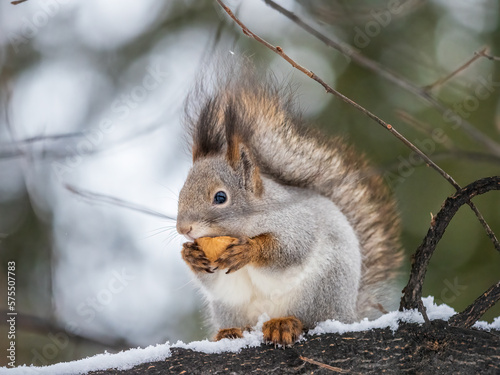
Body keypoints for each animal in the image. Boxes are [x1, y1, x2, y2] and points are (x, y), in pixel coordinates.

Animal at [176, 59, 402, 346]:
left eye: (220, 197)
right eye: (180, 193)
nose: (183, 229)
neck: (246, 223)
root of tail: (348, 313)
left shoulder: (295, 221)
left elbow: (289, 250)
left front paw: (249, 250)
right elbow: (210, 280)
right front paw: (190, 255)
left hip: (322, 290)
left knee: (310, 320)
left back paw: (285, 324)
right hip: (230, 307)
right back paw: (230, 332)